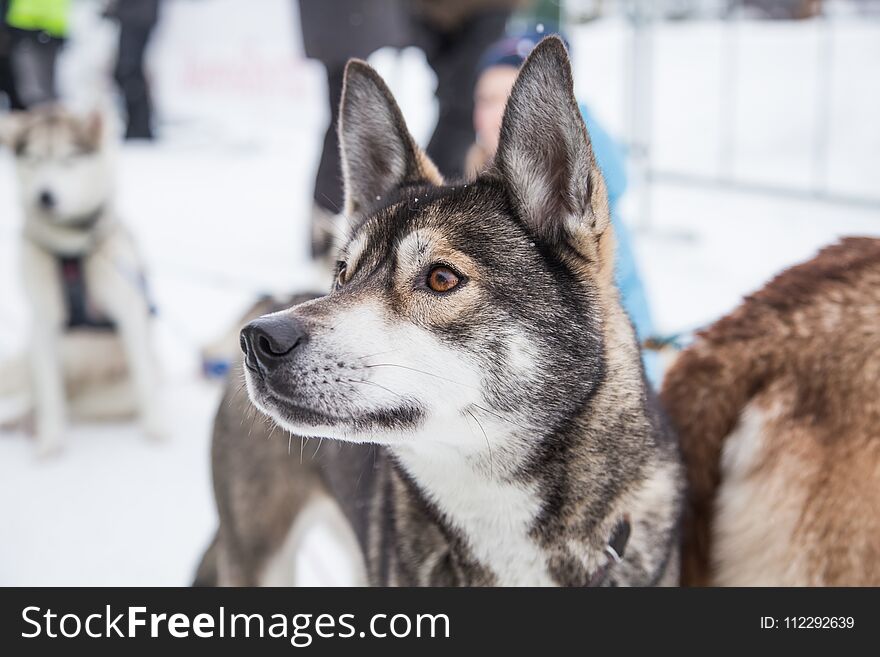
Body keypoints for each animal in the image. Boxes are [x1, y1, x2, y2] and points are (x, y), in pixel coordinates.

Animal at [0, 107, 163, 456]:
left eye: (69, 159)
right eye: (33, 159)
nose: (45, 196)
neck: (70, 253)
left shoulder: (128, 314)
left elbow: (145, 382)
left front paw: (158, 427)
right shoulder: (43, 324)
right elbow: (50, 396)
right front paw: (50, 441)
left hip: (116, 391)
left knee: (78, 405)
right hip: (33, 359)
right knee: (44, 397)